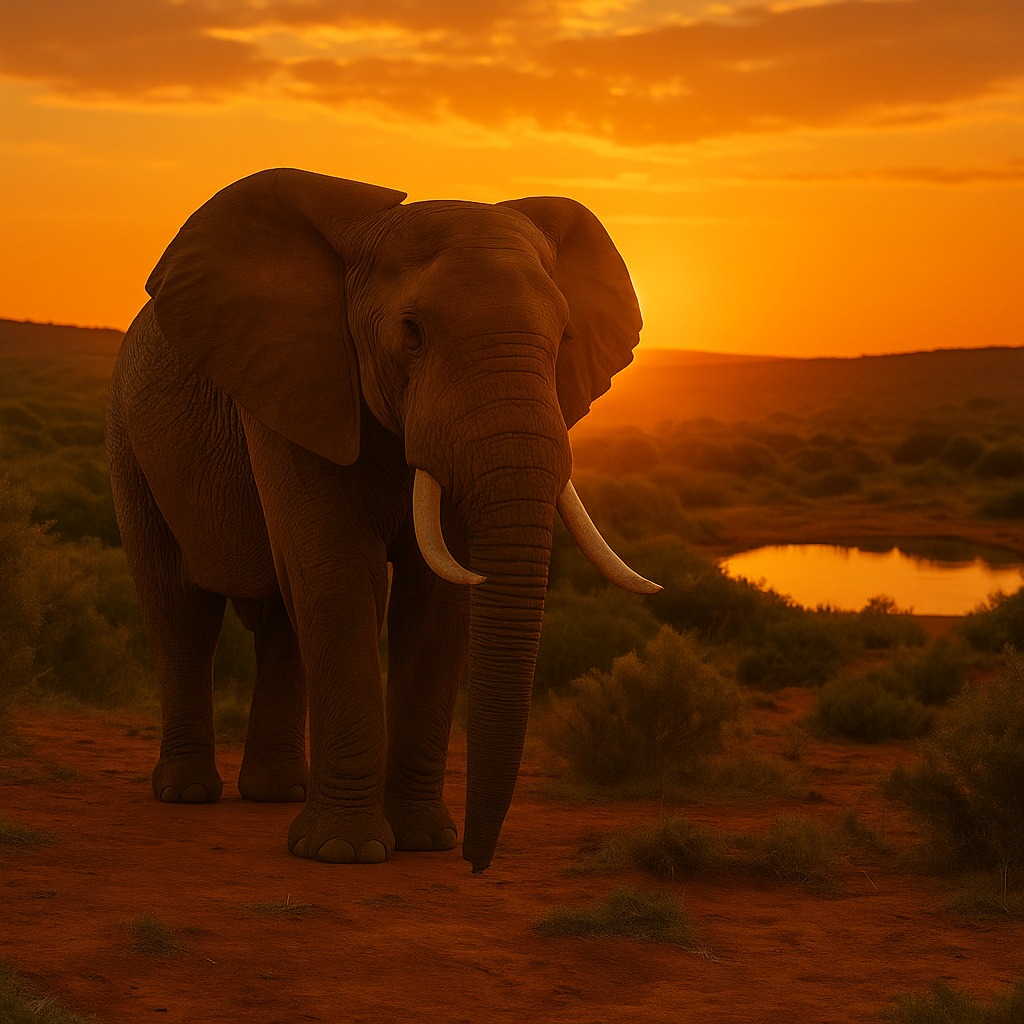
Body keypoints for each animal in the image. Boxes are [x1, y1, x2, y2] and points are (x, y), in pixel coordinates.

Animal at [106, 167, 659, 872]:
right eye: (413, 332)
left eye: (564, 339)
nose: (476, 864)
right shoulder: (297, 386)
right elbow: (339, 574)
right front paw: (345, 852)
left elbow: (437, 597)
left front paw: (424, 842)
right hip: (127, 439)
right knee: (181, 611)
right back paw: (187, 794)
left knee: (281, 621)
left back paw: (277, 793)